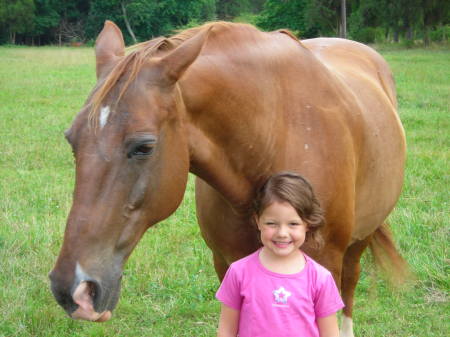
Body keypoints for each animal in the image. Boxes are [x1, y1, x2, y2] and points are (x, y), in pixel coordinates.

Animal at [50, 21, 408, 334]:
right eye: (71, 139)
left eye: (144, 147)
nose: (72, 289)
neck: (273, 140)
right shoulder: (225, 265)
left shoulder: (325, 265)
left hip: (359, 240)